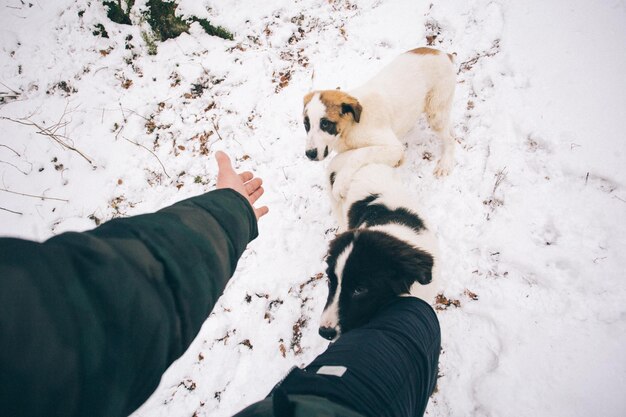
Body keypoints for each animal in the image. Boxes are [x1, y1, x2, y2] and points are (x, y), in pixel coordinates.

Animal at [302, 47, 454, 200]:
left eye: (325, 124)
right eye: (306, 125)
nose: (309, 154)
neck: (351, 128)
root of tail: (443, 54)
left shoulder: (394, 148)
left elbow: (360, 154)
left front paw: (340, 183)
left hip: (436, 115)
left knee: (450, 140)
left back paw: (444, 164)